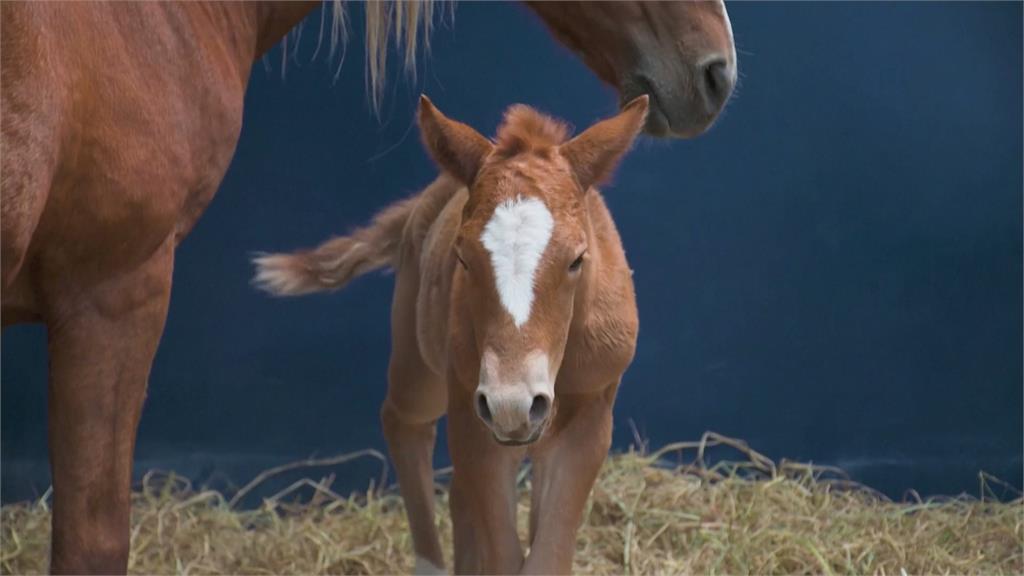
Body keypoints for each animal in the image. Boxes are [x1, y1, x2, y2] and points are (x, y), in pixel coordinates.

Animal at [254, 95, 648, 575]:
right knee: (405, 423)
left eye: (577, 259)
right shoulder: (474, 409)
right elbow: (504, 554)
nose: (514, 403)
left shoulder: (590, 415)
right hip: (421, 363)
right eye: (463, 257)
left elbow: (547, 552)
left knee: (463, 493)